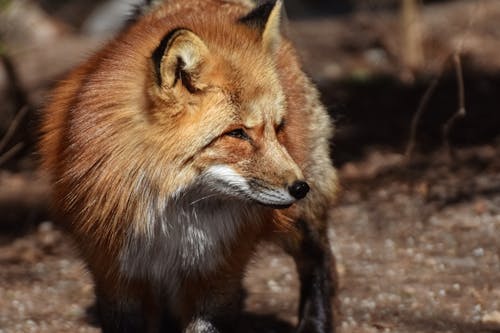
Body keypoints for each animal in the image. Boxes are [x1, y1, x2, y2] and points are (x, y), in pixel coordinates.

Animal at [38, 0, 336, 330]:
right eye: (237, 133)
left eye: (279, 127)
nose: (300, 187)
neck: (168, 222)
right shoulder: (115, 275)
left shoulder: (217, 276)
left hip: (301, 220)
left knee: (320, 261)